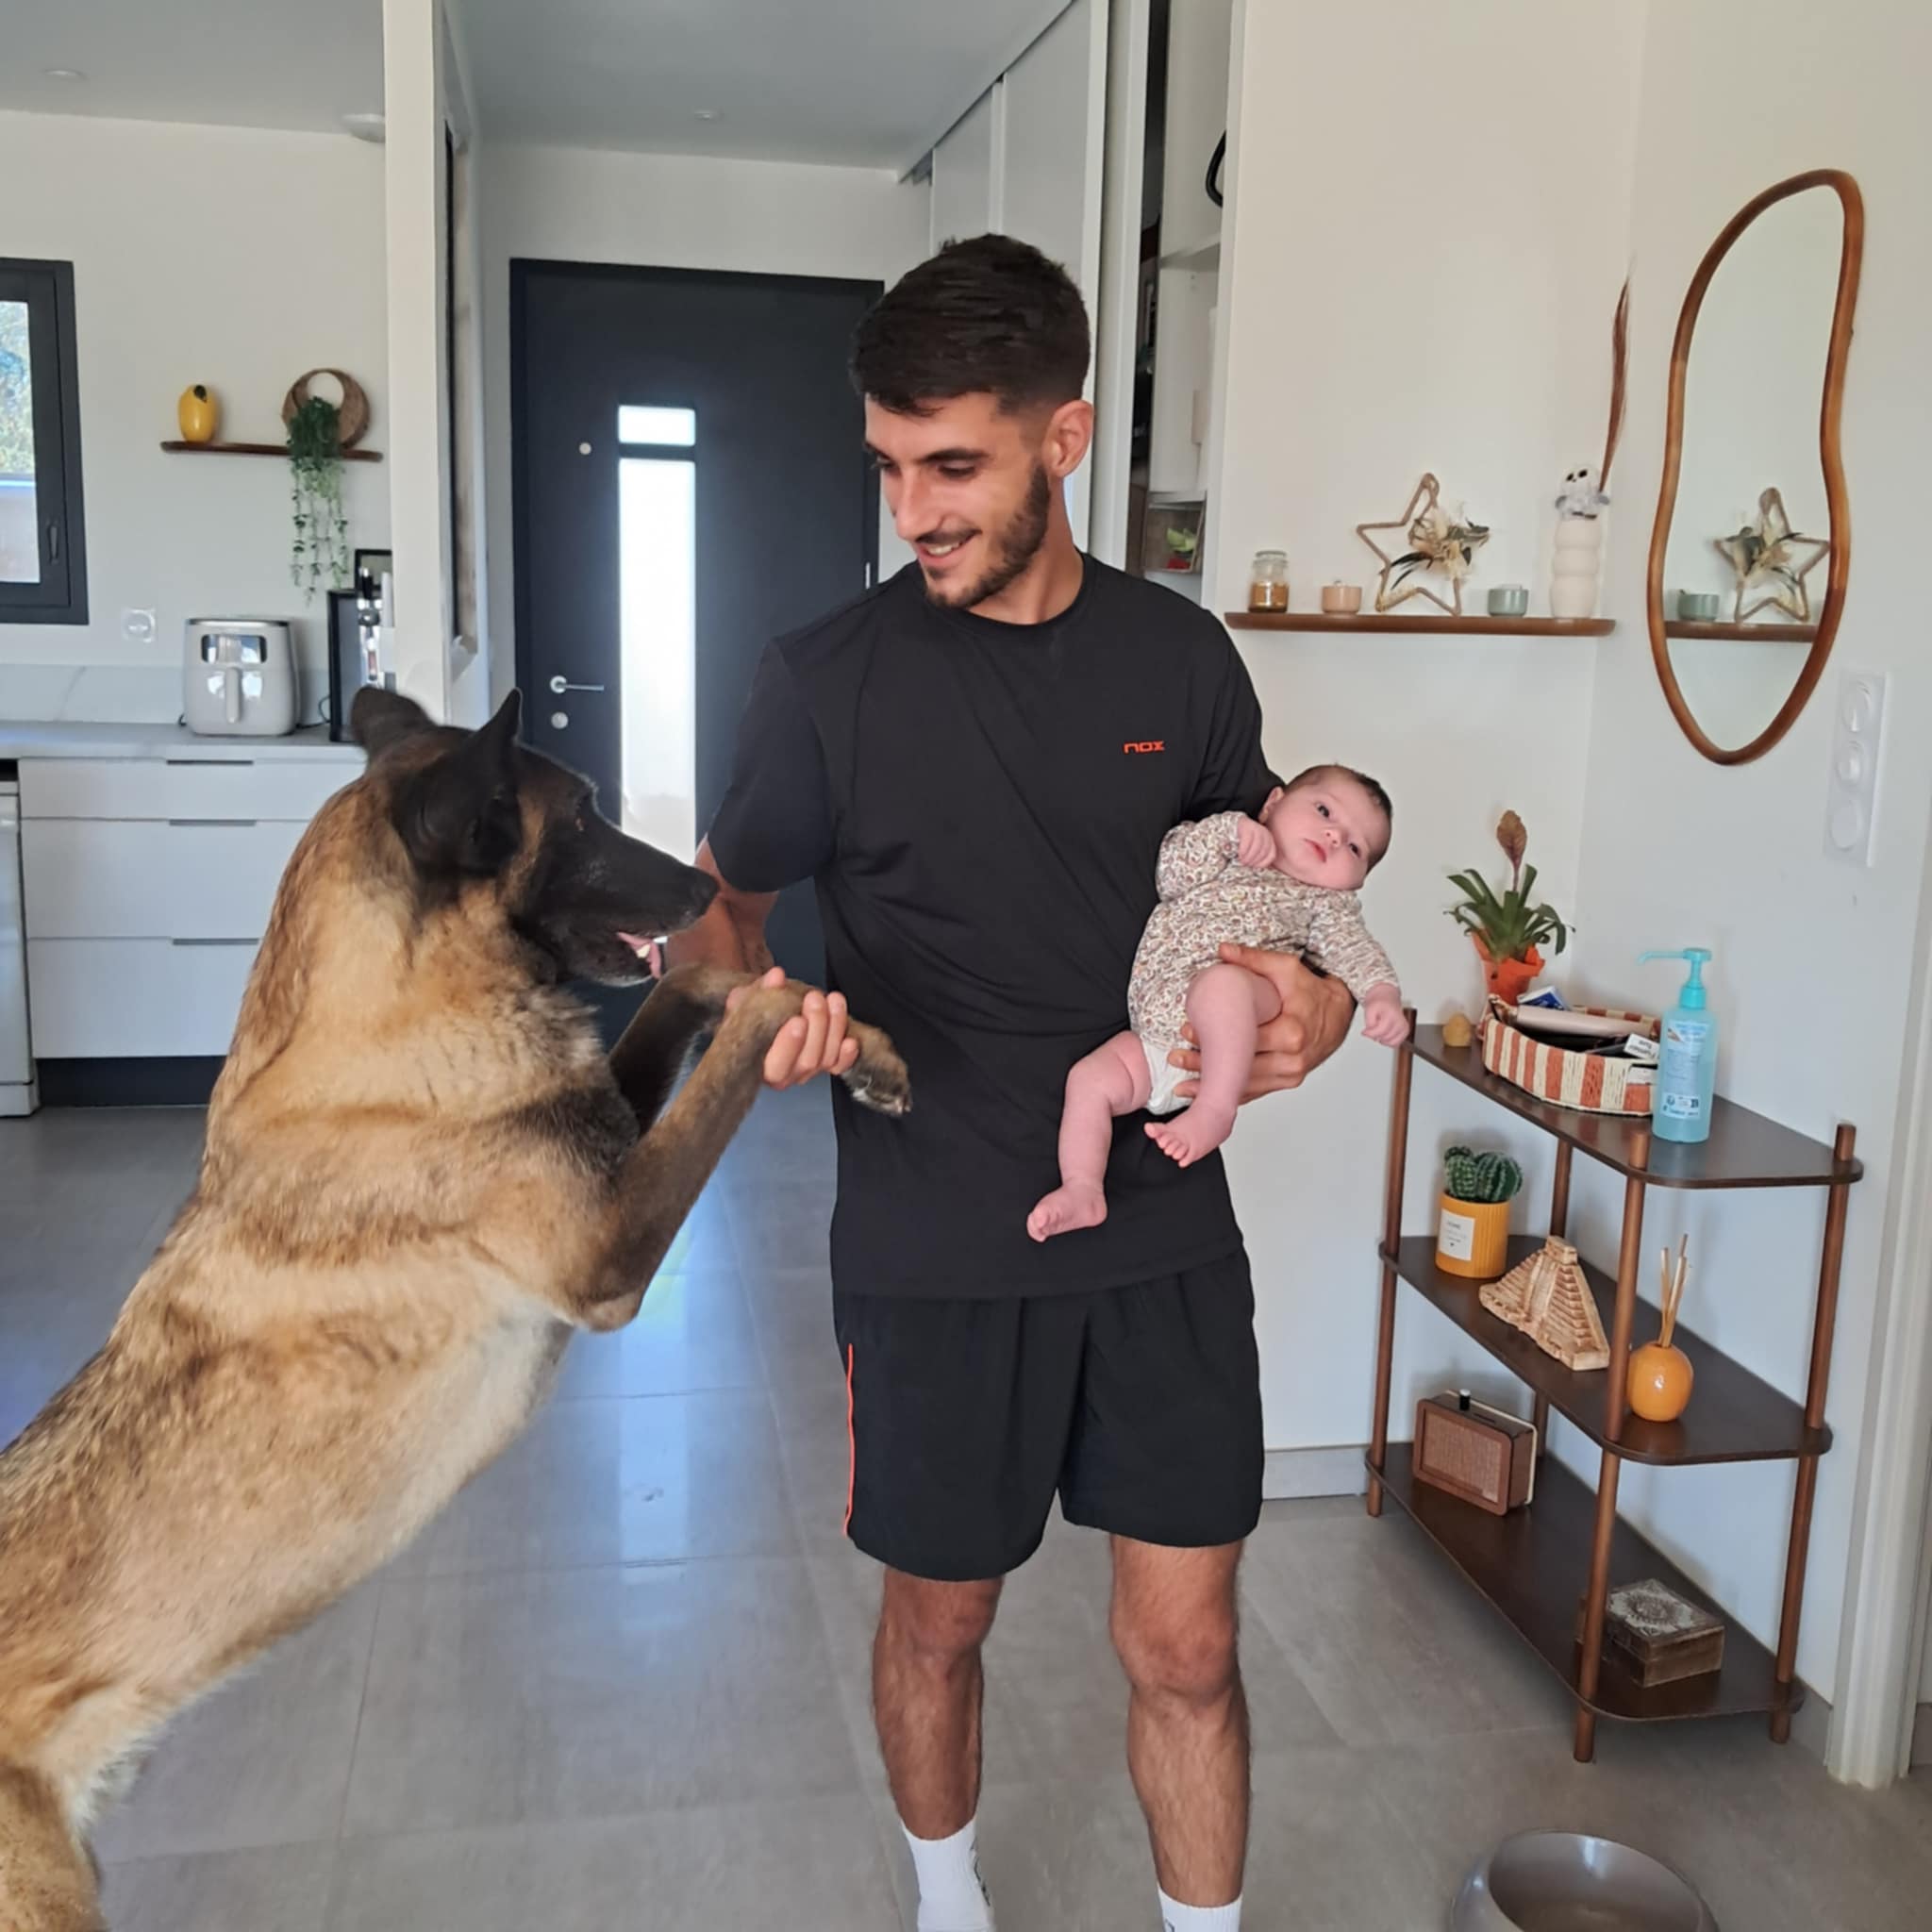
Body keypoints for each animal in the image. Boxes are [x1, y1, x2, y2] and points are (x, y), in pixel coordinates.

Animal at [0, 688, 907, 1930]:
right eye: (579, 815)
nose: (707, 883)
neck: (382, 1019)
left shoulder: (602, 1136)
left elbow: (693, 993)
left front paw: (857, 1041)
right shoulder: (608, 1245)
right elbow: (743, 1032)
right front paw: (804, 1016)